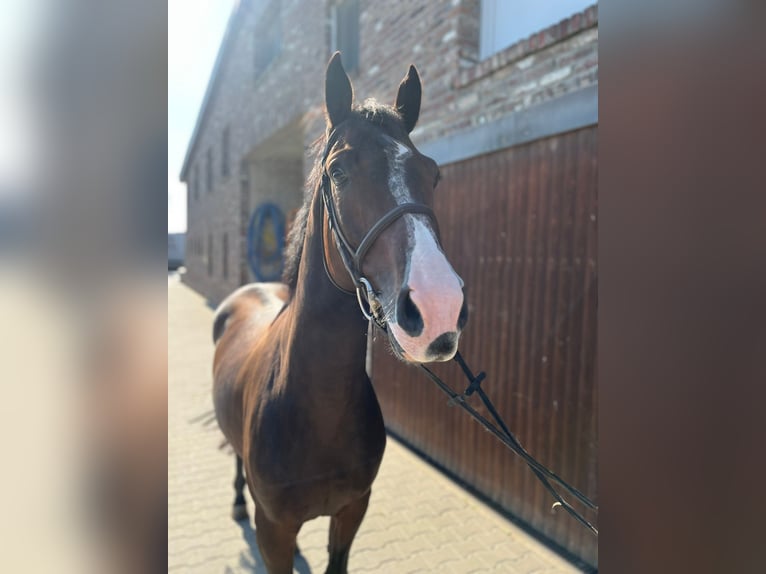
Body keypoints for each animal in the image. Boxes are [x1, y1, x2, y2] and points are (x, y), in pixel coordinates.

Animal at [213, 54, 472, 574]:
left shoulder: (352, 511)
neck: (316, 407)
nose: (439, 309)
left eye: (432, 173)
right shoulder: (273, 530)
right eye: (338, 173)